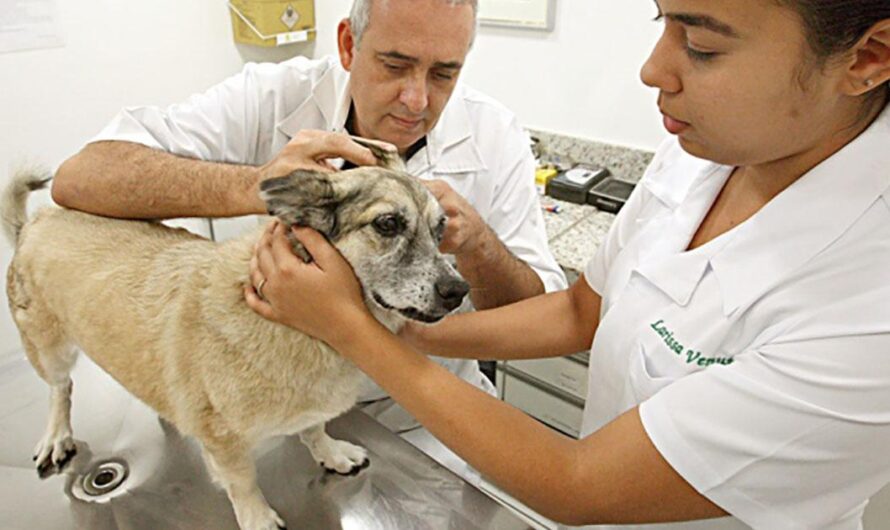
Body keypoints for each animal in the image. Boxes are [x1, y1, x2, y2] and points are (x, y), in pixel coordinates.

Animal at [0, 145, 468, 528]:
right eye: (387, 224)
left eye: (441, 228)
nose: (458, 291)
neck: (296, 329)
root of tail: (33, 223)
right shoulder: (224, 443)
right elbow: (244, 484)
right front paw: (258, 519)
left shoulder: (310, 408)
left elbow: (315, 429)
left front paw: (332, 454)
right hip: (49, 349)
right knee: (60, 390)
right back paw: (56, 435)